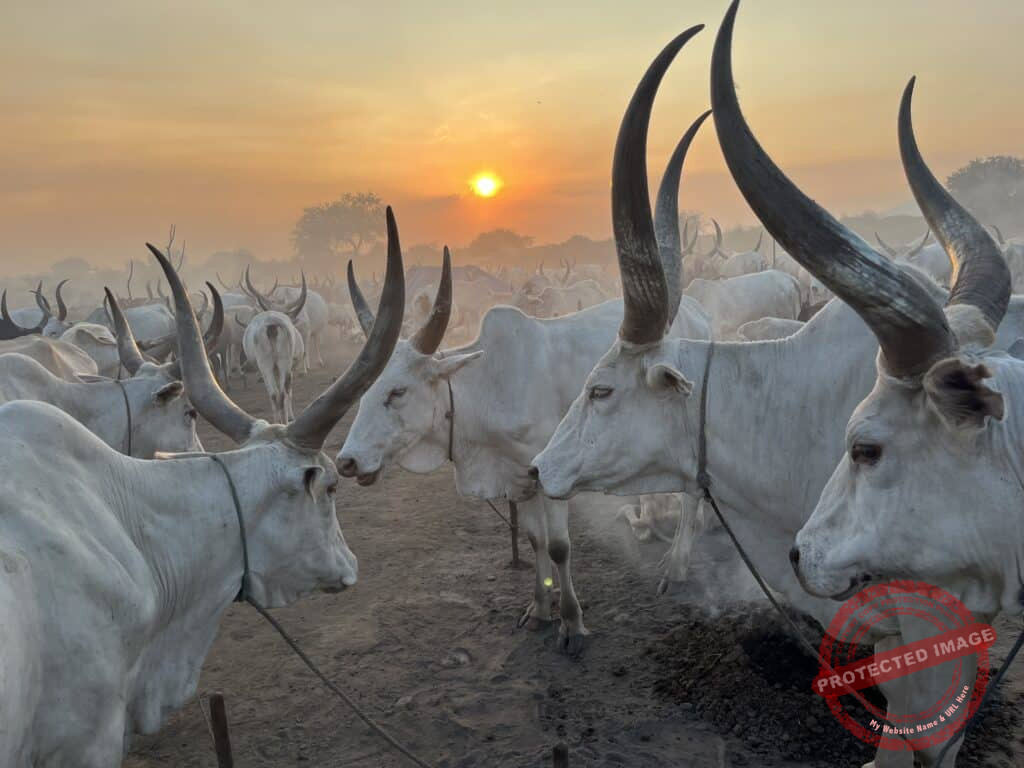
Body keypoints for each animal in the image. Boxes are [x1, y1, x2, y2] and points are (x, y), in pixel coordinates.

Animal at [337, 34, 713, 658]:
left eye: (396, 392)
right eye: (364, 393)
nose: (345, 462)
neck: (483, 394)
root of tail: (700, 314)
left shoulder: (549, 477)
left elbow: (559, 548)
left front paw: (573, 623)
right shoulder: (522, 480)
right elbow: (535, 546)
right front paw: (539, 611)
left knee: (691, 495)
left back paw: (680, 565)